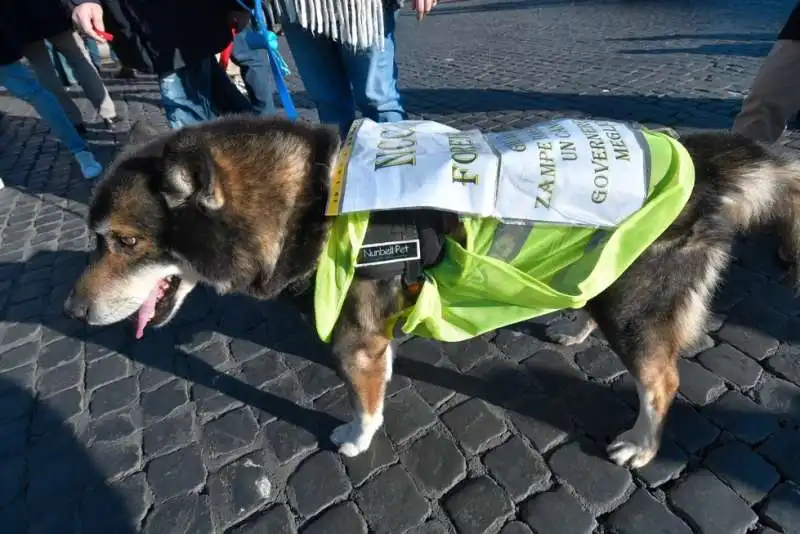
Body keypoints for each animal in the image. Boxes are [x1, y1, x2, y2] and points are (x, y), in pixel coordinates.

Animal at [67, 116, 800, 468]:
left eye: (122, 242)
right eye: (96, 238)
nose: (71, 310)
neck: (309, 201)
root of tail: (702, 161)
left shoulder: (358, 342)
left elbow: (363, 403)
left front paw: (356, 439)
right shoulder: (375, 336)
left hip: (637, 310)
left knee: (662, 382)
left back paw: (643, 444)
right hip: (606, 281)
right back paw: (572, 325)